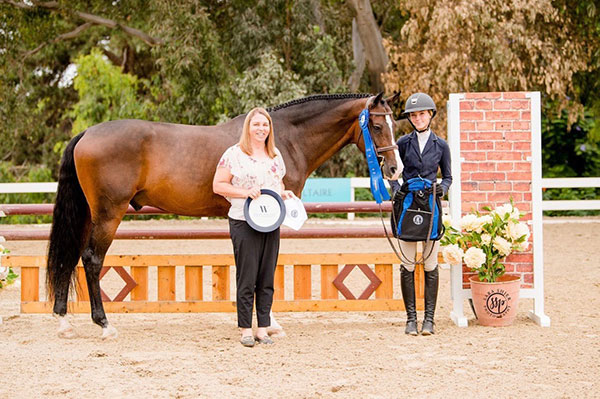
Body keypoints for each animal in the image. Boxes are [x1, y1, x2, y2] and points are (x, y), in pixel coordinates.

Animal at [48, 92, 404, 340]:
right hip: (108, 214)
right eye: (376, 125)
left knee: (69, 257)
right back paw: (104, 324)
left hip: (88, 215)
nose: (395, 169)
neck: (285, 137)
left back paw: (64, 322)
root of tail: (86, 134)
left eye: (393, 124)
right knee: (91, 259)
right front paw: (269, 324)